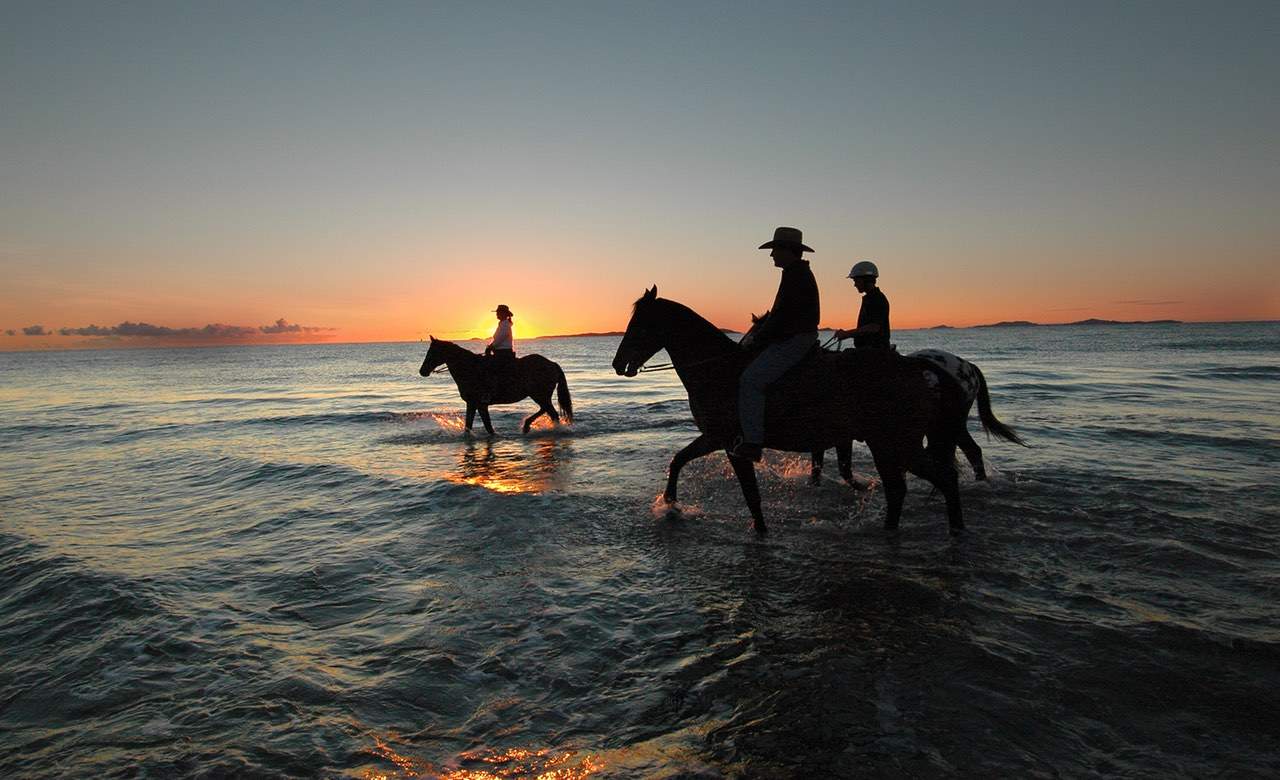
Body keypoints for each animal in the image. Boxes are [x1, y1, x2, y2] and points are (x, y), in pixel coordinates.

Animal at [419, 333, 576, 435]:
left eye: (431, 352)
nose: (422, 371)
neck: (470, 368)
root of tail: (552, 364)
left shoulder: (481, 404)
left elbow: (488, 427)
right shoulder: (472, 403)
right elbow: (468, 426)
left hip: (540, 395)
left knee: (551, 412)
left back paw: (530, 427)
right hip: (540, 396)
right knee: (548, 412)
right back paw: (529, 426)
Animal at [609, 285, 962, 535]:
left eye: (639, 324)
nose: (617, 363)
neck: (718, 370)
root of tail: (914, 367)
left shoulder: (734, 446)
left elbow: (751, 496)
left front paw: (760, 531)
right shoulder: (714, 438)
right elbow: (679, 459)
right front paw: (670, 503)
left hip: (894, 444)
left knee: (931, 481)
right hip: (891, 446)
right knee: (905, 488)